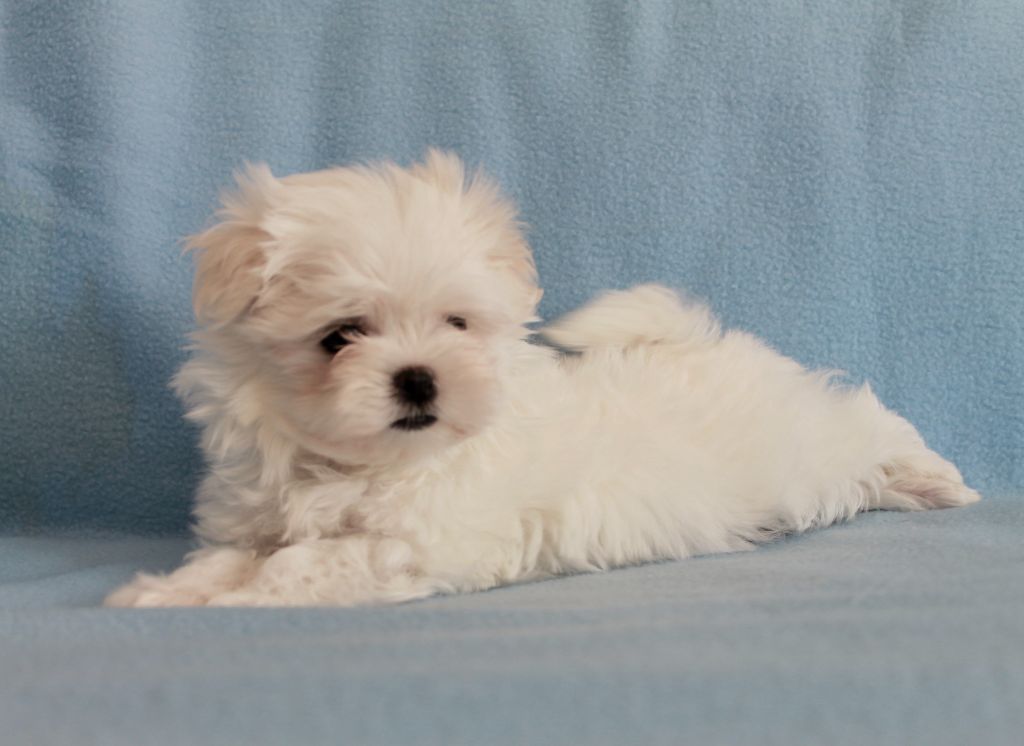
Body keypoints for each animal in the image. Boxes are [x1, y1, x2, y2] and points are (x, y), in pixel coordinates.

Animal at [106, 151, 980, 607]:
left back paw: (935, 479)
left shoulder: (425, 540)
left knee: (864, 421)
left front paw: (235, 594)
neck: (349, 465)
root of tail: (709, 343)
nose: (419, 379)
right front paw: (167, 590)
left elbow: (306, 563)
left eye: (457, 325)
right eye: (339, 336)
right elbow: (239, 556)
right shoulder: (259, 517)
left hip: (798, 446)